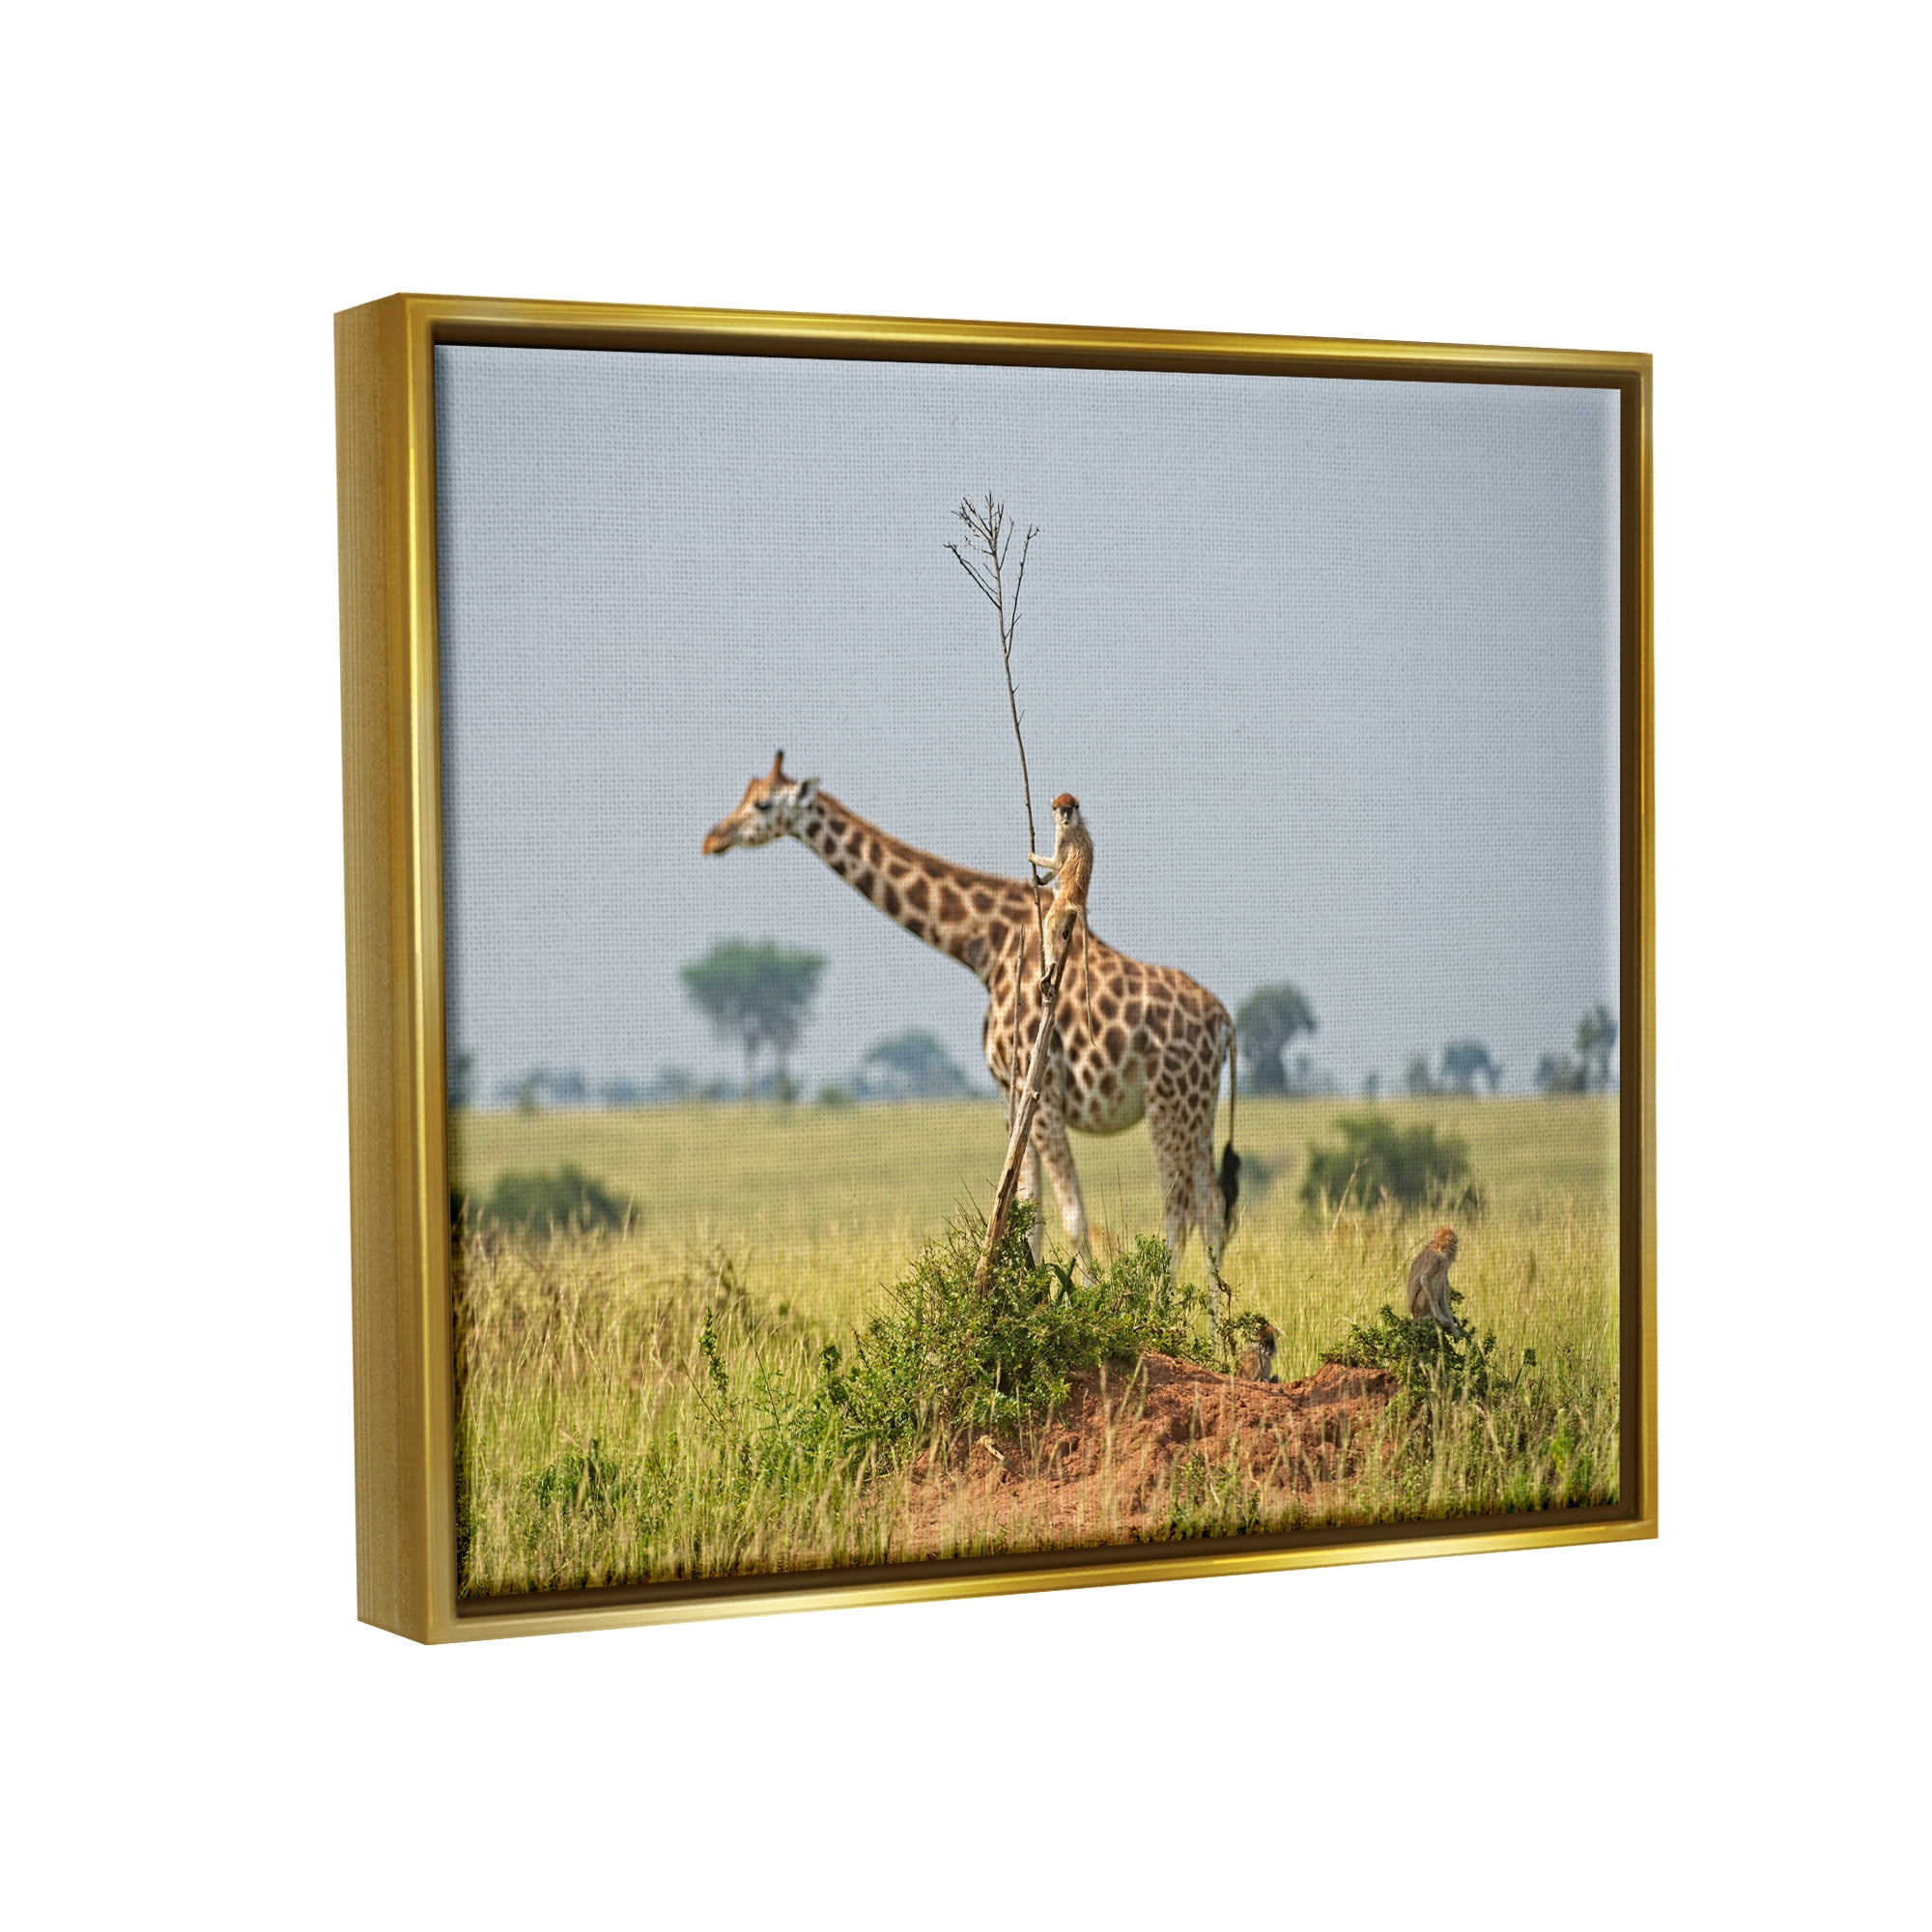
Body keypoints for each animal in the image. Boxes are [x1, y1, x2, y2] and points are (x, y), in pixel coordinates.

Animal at [701, 753, 1241, 1315]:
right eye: (746, 795)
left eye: (762, 804)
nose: (712, 839)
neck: (982, 945)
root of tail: (1225, 1021)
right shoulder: (1011, 1096)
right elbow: (1026, 1216)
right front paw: (1032, 1300)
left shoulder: (1038, 1092)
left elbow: (1071, 1217)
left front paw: (1086, 1307)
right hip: (1198, 1108)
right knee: (1212, 1211)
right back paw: (1216, 1326)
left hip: (1166, 1104)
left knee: (1178, 1211)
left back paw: (1163, 1315)